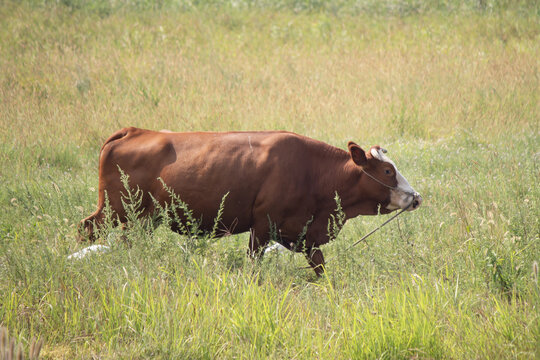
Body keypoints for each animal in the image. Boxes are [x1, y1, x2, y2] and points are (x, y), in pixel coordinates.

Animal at [79, 128, 422, 274]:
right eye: (388, 171)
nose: (416, 197)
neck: (312, 171)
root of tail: (134, 131)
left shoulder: (303, 235)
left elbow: (321, 268)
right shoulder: (261, 227)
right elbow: (254, 264)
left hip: (144, 218)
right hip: (115, 210)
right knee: (86, 228)